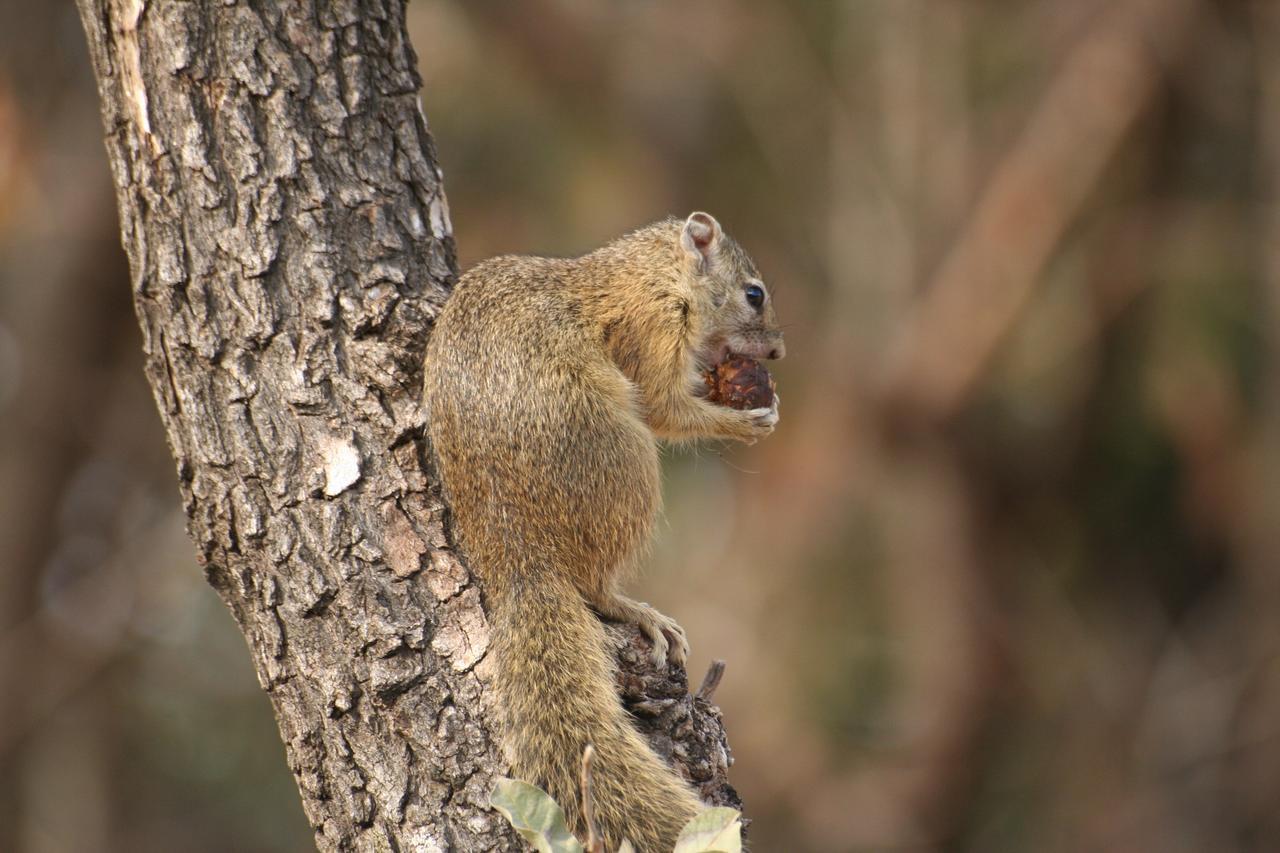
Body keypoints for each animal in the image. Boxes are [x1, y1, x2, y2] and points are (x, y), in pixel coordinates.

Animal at [422, 212, 778, 850]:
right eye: (754, 294)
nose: (779, 350)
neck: (651, 273)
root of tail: (521, 560)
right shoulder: (651, 330)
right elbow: (665, 407)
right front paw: (748, 420)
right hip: (627, 462)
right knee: (595, 587)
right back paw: (636, 610)